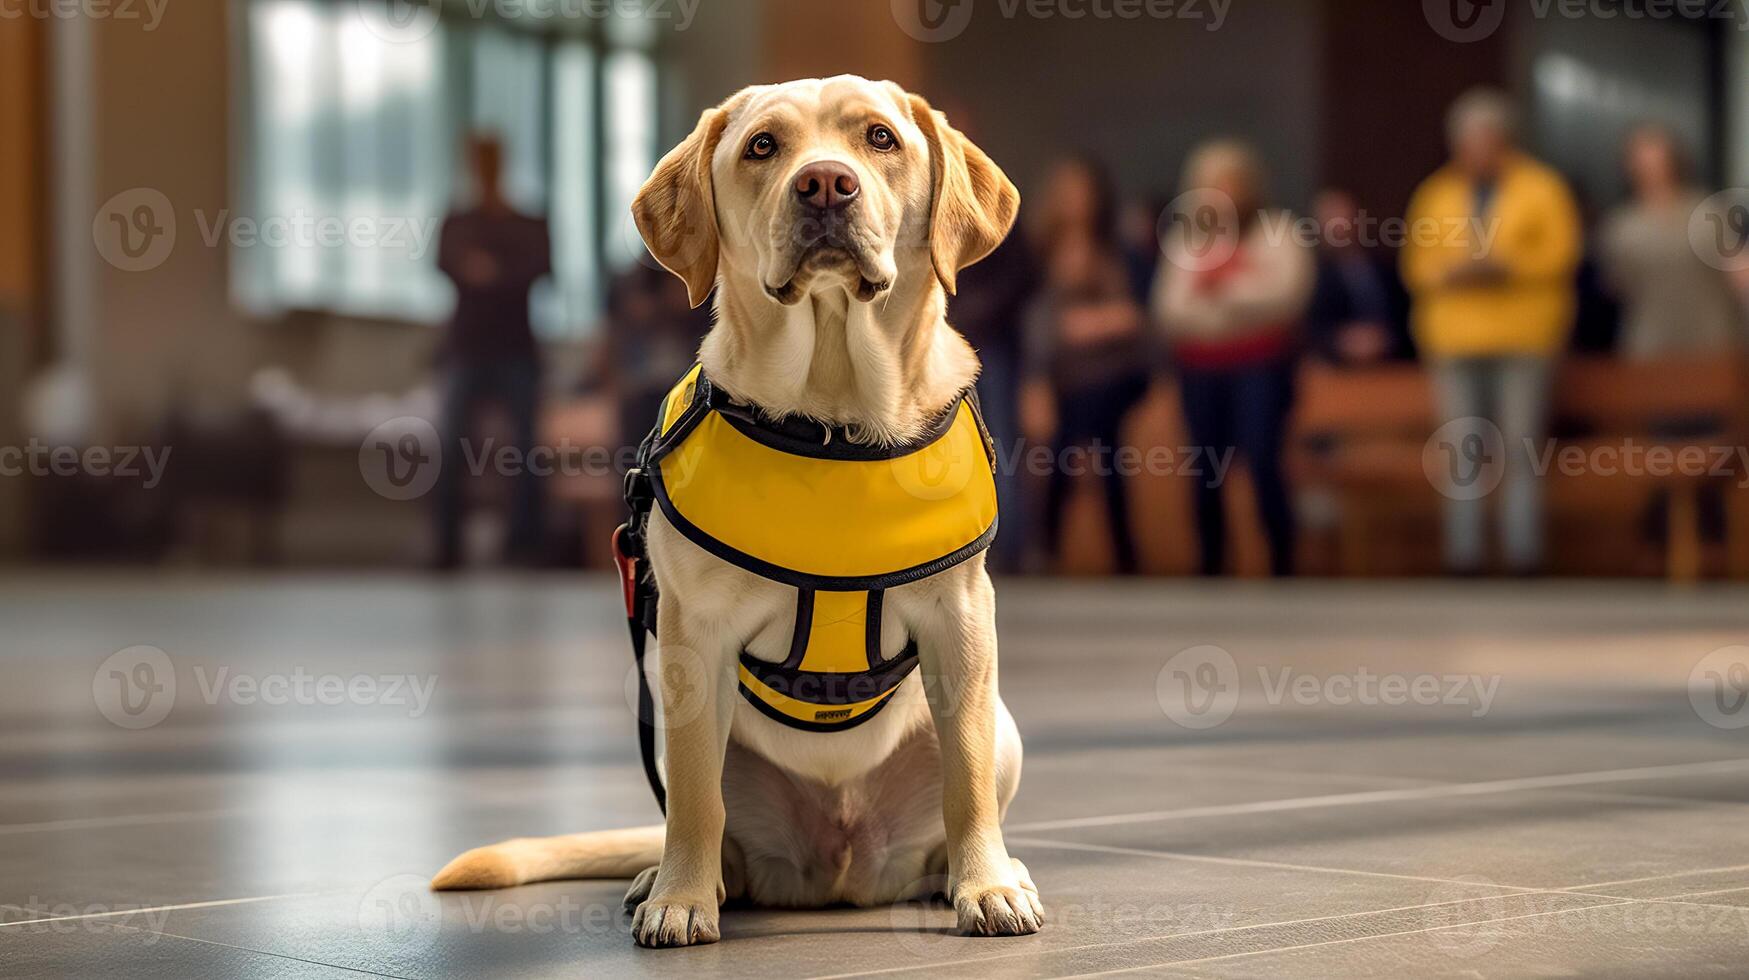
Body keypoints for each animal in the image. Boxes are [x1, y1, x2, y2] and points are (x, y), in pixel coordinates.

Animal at [432, 76, 1042, 952]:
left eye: (879, 139)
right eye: (762, 147)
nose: (825, 184)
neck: (832, 417)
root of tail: (839, 869)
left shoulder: (960, 621)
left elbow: (965, 778)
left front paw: (986, 885)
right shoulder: (694, 639)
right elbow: (694, 798)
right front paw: (683, 898)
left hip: (1006, 728)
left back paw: (976, 872)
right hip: (662, 714)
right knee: (698, 816)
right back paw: (674, 878)